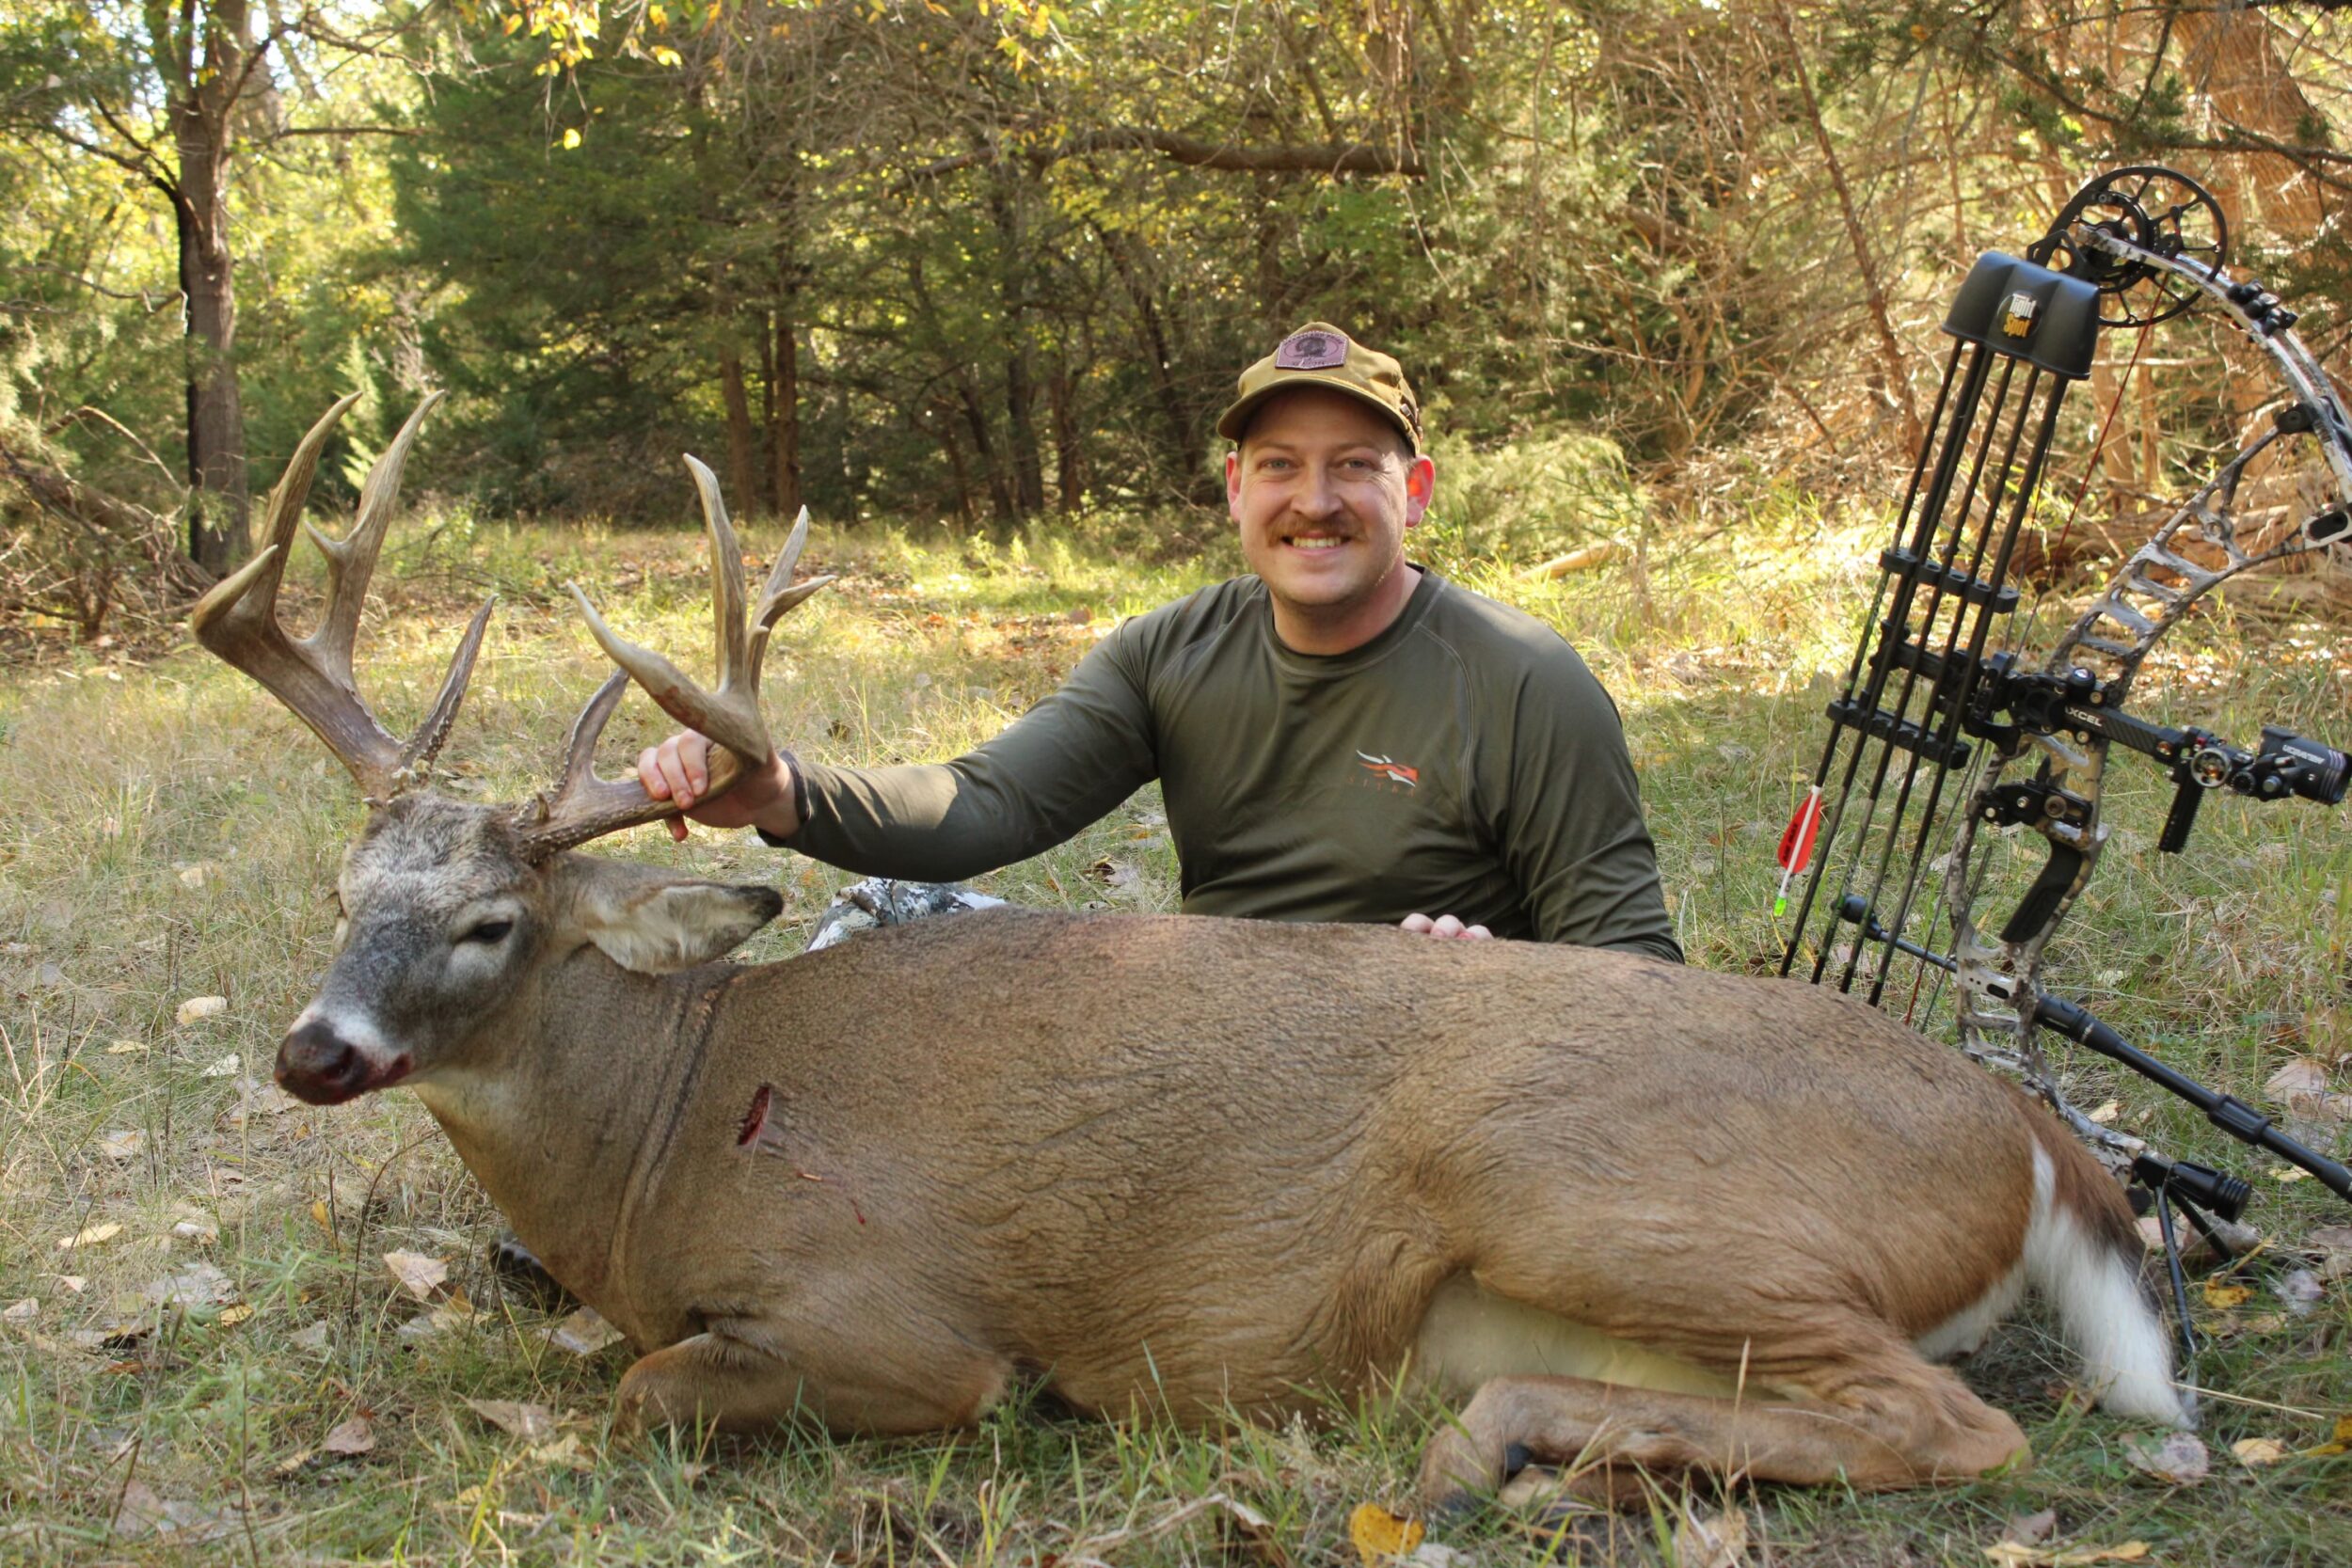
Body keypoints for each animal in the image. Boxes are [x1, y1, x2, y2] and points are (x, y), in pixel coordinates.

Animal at [193, 395, 2191, 1516]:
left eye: (492, 923)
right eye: (343, 889)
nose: (313, 1049)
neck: (668, 1133)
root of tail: (2035, 1131)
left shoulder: (900, 1315)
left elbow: (643, 1392)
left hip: (1586, 1178)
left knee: (1962, 1428)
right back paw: (1511, 1453)